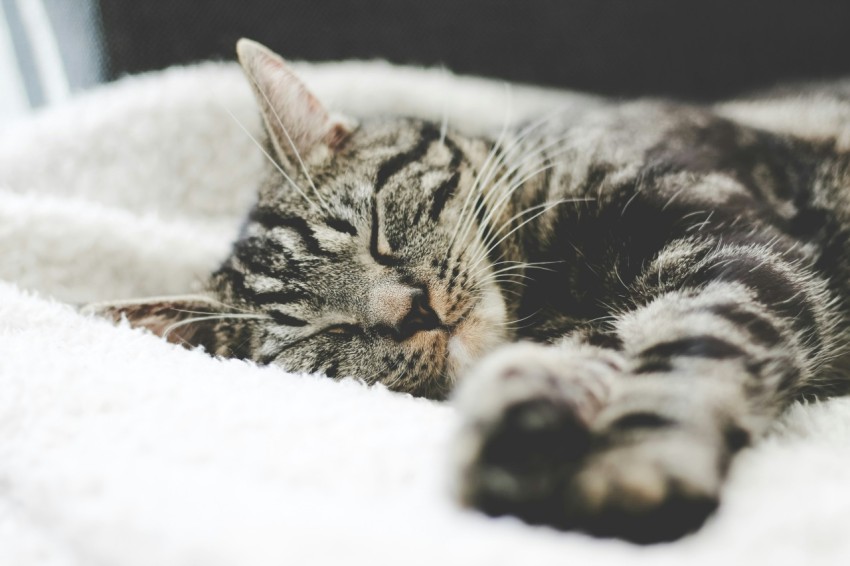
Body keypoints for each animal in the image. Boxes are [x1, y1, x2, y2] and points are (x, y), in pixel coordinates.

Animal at [97, 37, 848, 544]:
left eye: (373, 229)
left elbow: (692, 350)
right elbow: (574, 362)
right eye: (328, 333)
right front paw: (521, 427)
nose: (412, 310)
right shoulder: (599, 324)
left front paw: (634, 467)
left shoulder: (736, 251)